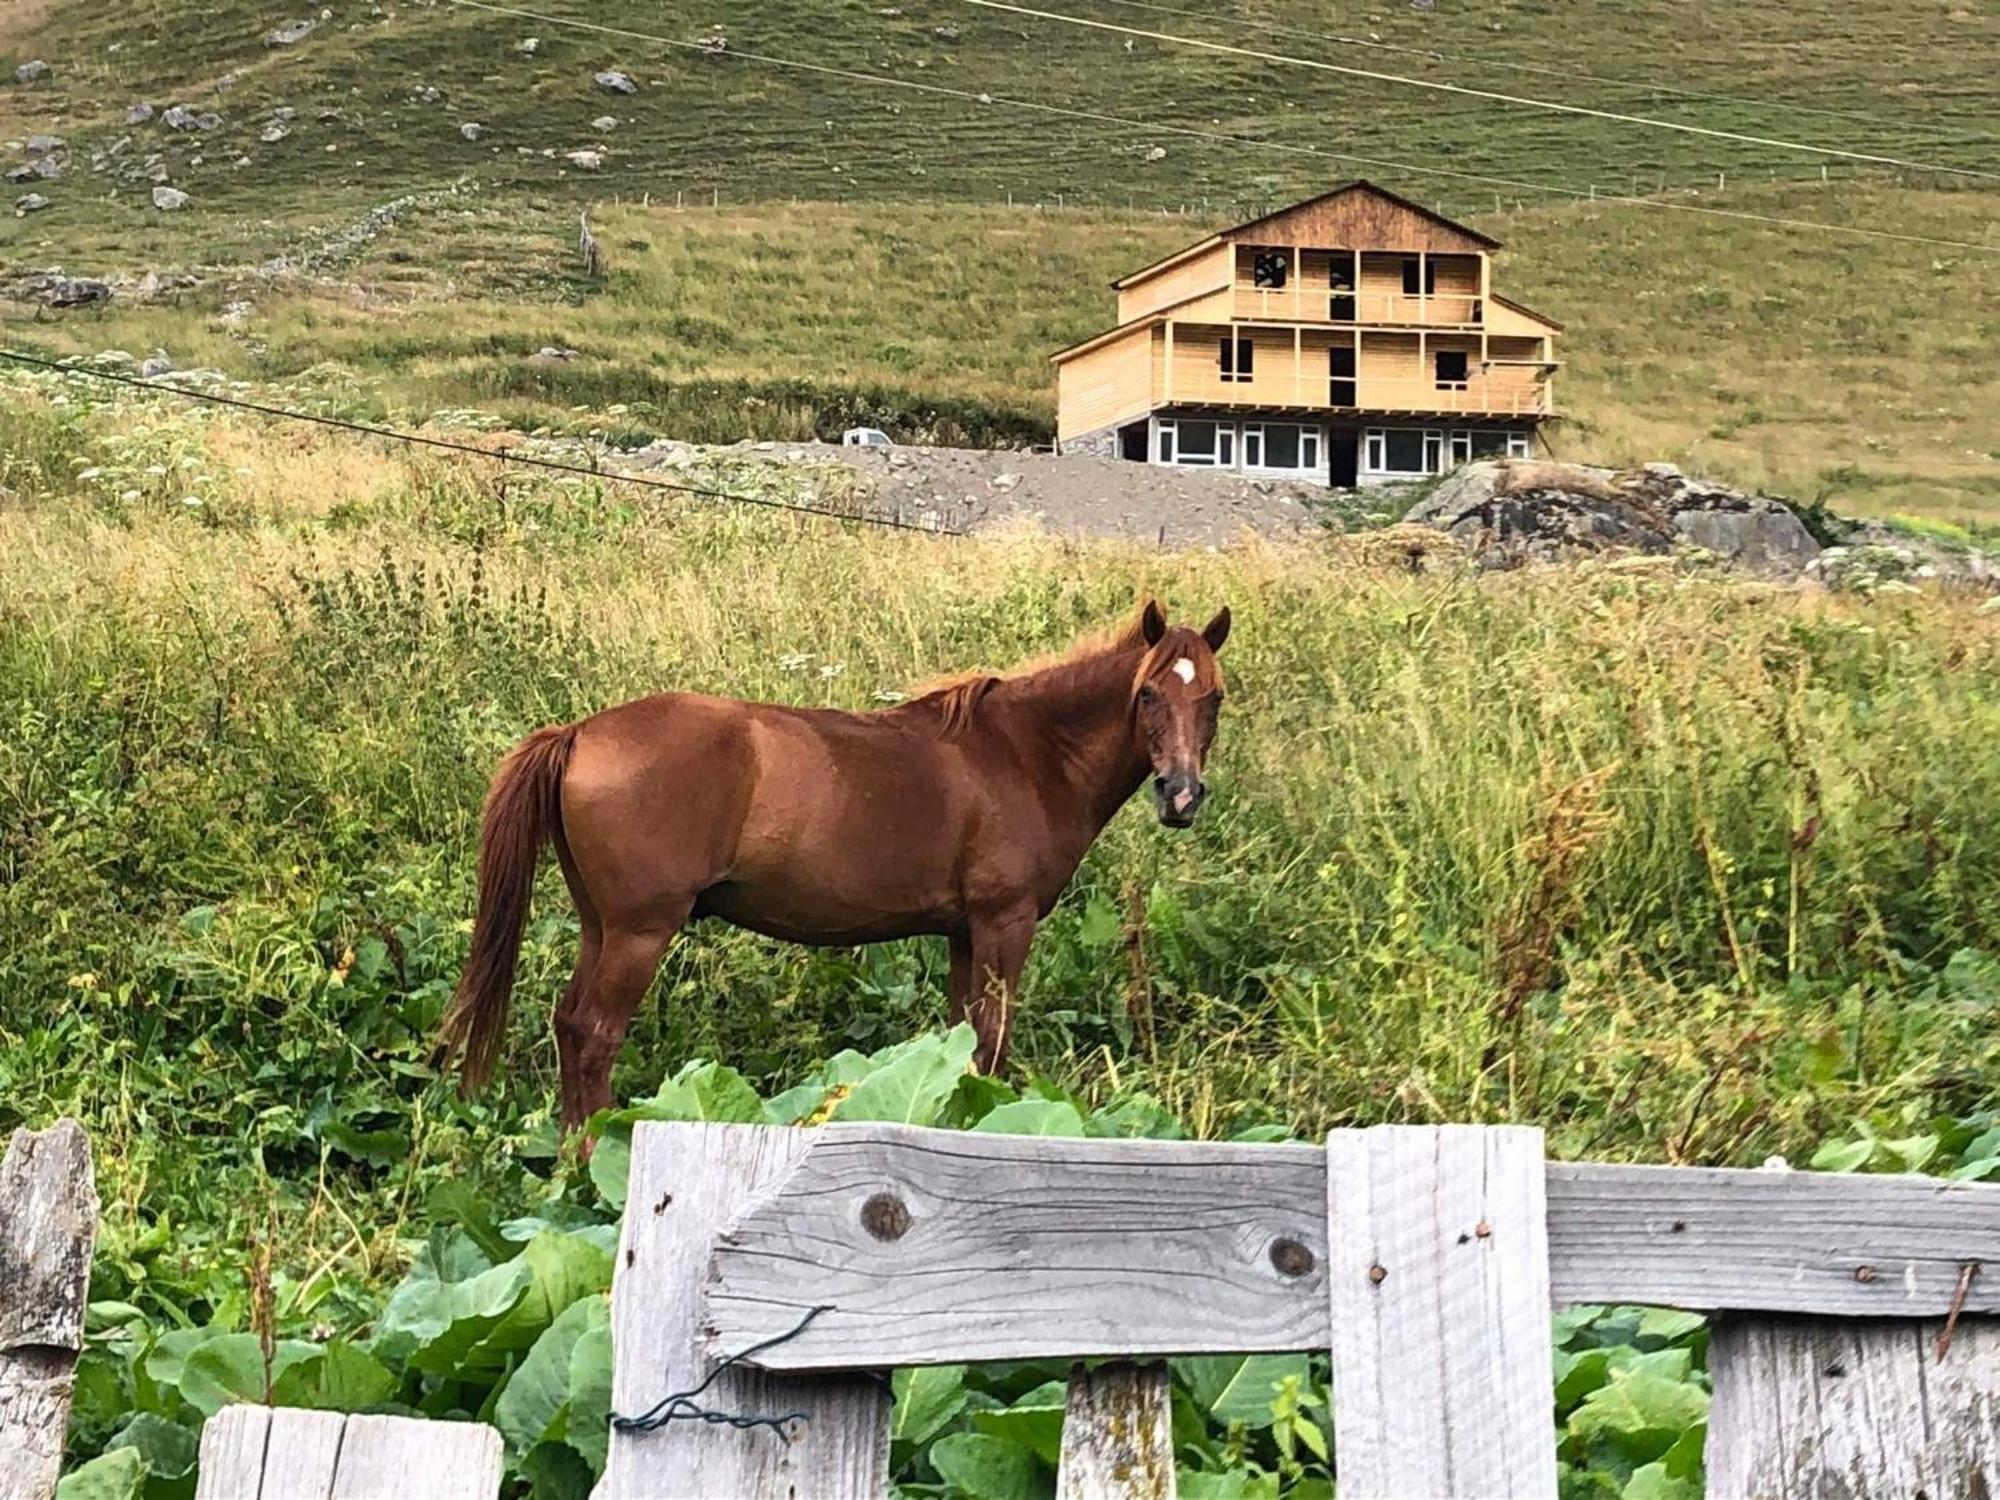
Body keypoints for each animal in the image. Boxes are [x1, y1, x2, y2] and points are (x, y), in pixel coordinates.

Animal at [438, 600, 1224, 1128]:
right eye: (1148, 693)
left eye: (1213, 696)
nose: (1181, 795)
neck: (1026, 753)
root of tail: (578, 733)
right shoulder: (1005, 925)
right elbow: (993, 1042)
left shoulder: (964, 934)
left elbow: (964, 1042)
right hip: (639, 933)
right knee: (594, 1035)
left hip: (602, 926)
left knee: (570, 1025)